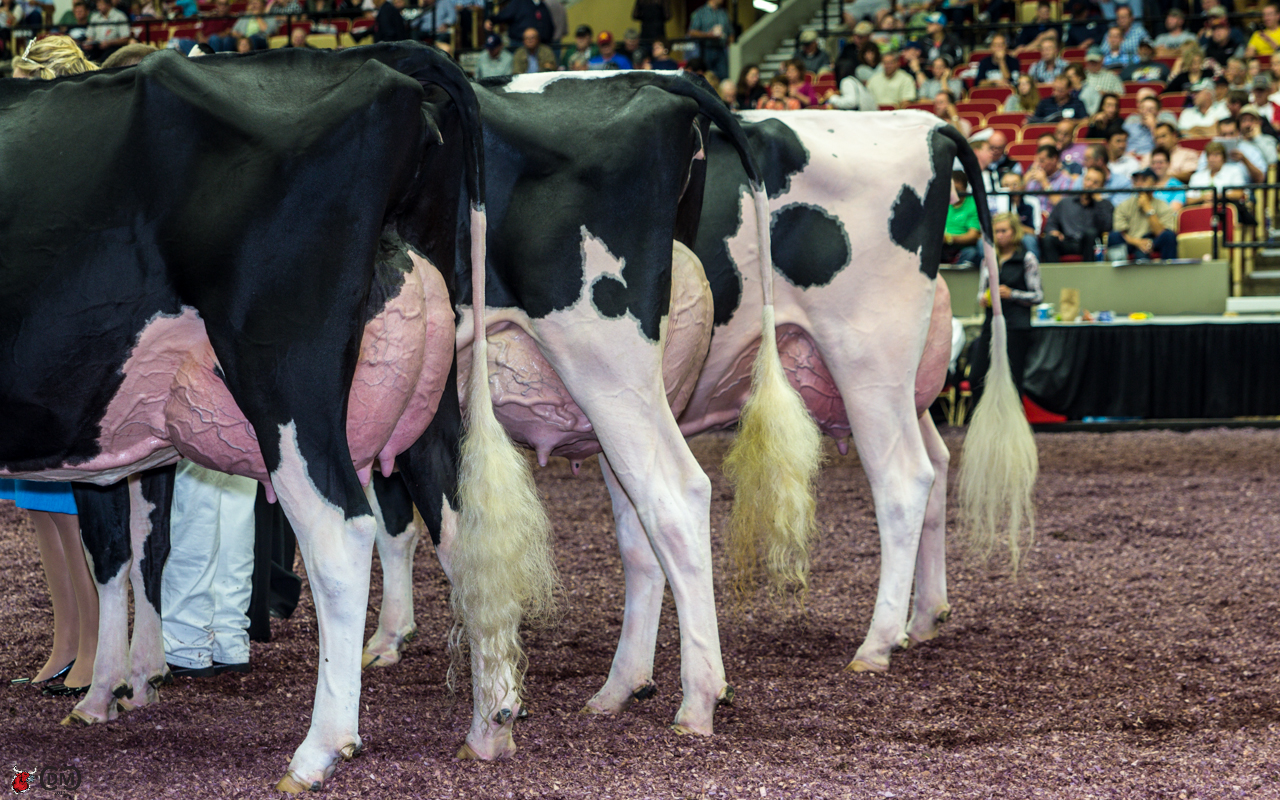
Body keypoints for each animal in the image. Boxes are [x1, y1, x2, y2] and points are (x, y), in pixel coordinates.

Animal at [0, 43, 558, 793]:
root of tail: (385, 66)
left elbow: (116, 552)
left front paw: (109, 687)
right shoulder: (122, 442)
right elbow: (129, 551)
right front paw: (117, 688)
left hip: (286, 381)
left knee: (342, 535)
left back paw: (318, 751)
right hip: (433, 394)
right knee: (462, 531)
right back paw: (489, 725)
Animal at [357, 70, 822, 760]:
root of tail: (661, 79)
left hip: (609, 364)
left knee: (683, 496)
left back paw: (700, 699)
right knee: (638, 530)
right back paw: (621, 687)